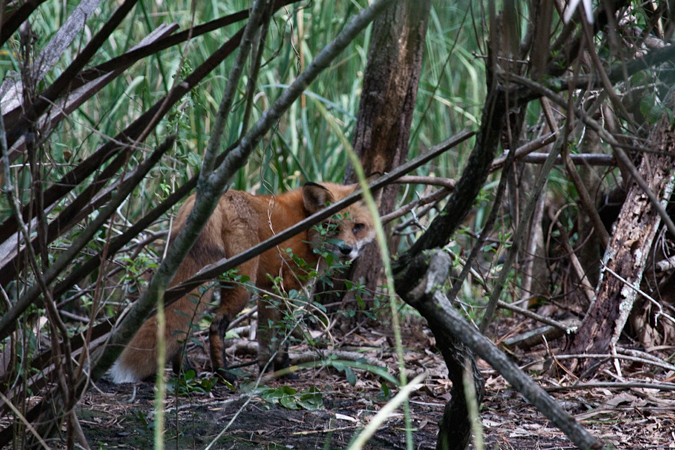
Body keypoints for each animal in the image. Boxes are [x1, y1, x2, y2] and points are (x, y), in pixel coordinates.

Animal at [108, 183, 378, 384]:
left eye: (358, 227)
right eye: (331, 226)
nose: (347, 250)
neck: (306, 224)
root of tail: (218, 199)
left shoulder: (268, 290)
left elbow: (266, 337)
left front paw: (267, 369)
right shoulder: (287, 288)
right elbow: (281, 336)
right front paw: (284, 370)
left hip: (198, 280)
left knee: (184, 326)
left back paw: (184, 371)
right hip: (241, 287)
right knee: (215, 326)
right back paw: (223, 374)